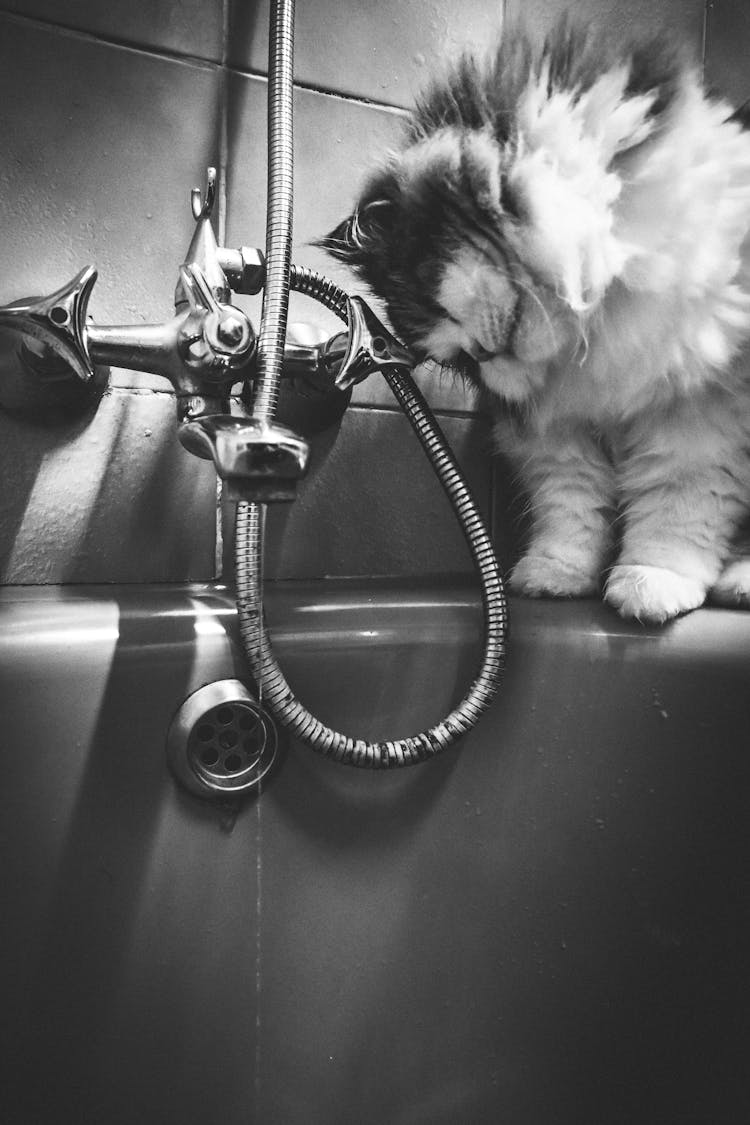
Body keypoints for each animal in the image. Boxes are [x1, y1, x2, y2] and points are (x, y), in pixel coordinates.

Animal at [319, 13, 750, 625]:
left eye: (431, 297)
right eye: (455, 361)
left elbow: (674, 511)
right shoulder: (556, 439)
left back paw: (738, 584)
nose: (478, 354)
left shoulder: (697, 418)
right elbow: (572, 512)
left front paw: (649, 586)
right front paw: (553, 578)